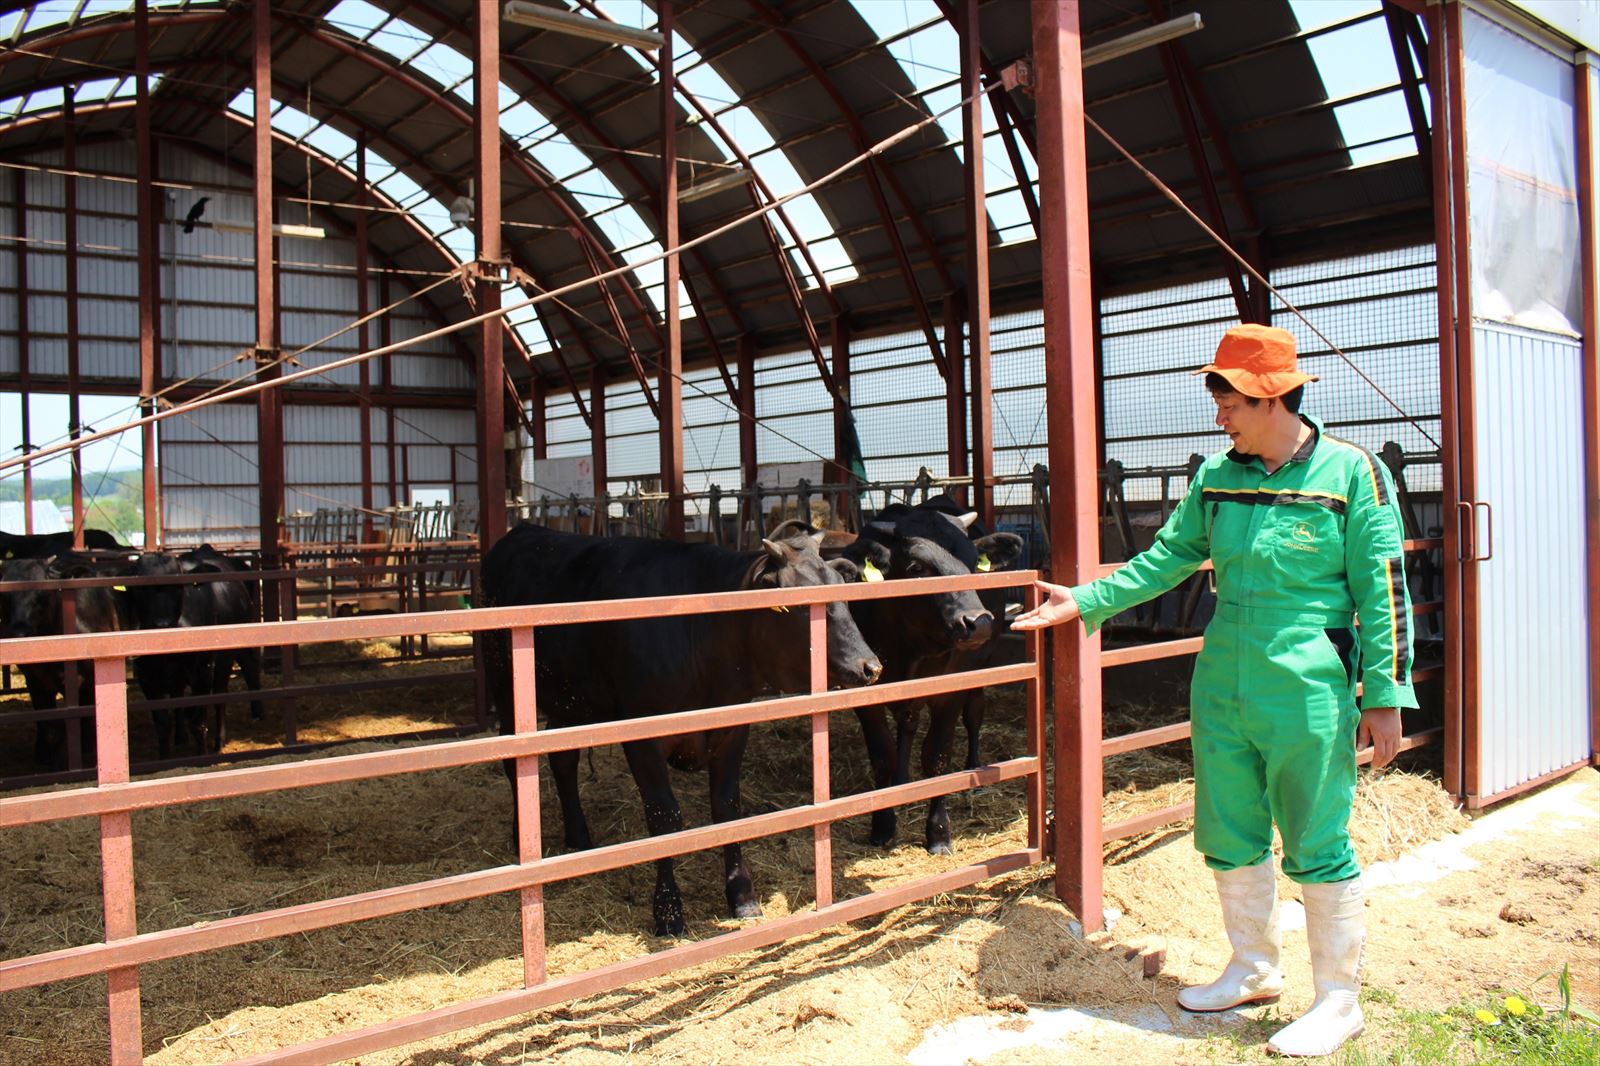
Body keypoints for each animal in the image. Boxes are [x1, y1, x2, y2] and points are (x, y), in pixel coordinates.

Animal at [0, 550, 123, 768]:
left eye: (42, 594)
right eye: (4, 596)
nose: (19, 633)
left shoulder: (89, 680)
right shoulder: (36, 681)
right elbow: (50, 725)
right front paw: (45, 757)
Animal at [120, 541, 264, 755]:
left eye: (178, 586)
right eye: (141, 588)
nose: (163, 624)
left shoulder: (203, 671)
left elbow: (198, 722)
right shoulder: (146, 676)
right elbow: (163, 723)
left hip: (228, 655)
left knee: (227, 688)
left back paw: (224, 737)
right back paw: (181, 737)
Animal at [480, 521, 883, 928]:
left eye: (845, 593)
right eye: (801, 607)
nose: (870, 666)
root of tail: (524, 530)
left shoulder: (733, 730)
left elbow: (727, 810)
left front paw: (743, 896)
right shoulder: (643, 737)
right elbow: (665, 819)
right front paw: (668, 910)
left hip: (568, 703)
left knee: (564, 762)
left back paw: (578, 837)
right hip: (506, 691)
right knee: (514, 765)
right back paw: (522, 839)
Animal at [825, 492, 1024, 851]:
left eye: (973, 565)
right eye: (917, 568)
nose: (978, 622)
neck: (910, 648)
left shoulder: (950, 690)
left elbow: (937, 755)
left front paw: (939, 832)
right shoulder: (863, 690)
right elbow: (884, 755)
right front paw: (883, 823)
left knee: (974, 714)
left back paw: (974, 769)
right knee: (908, 724)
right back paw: (903, 780)